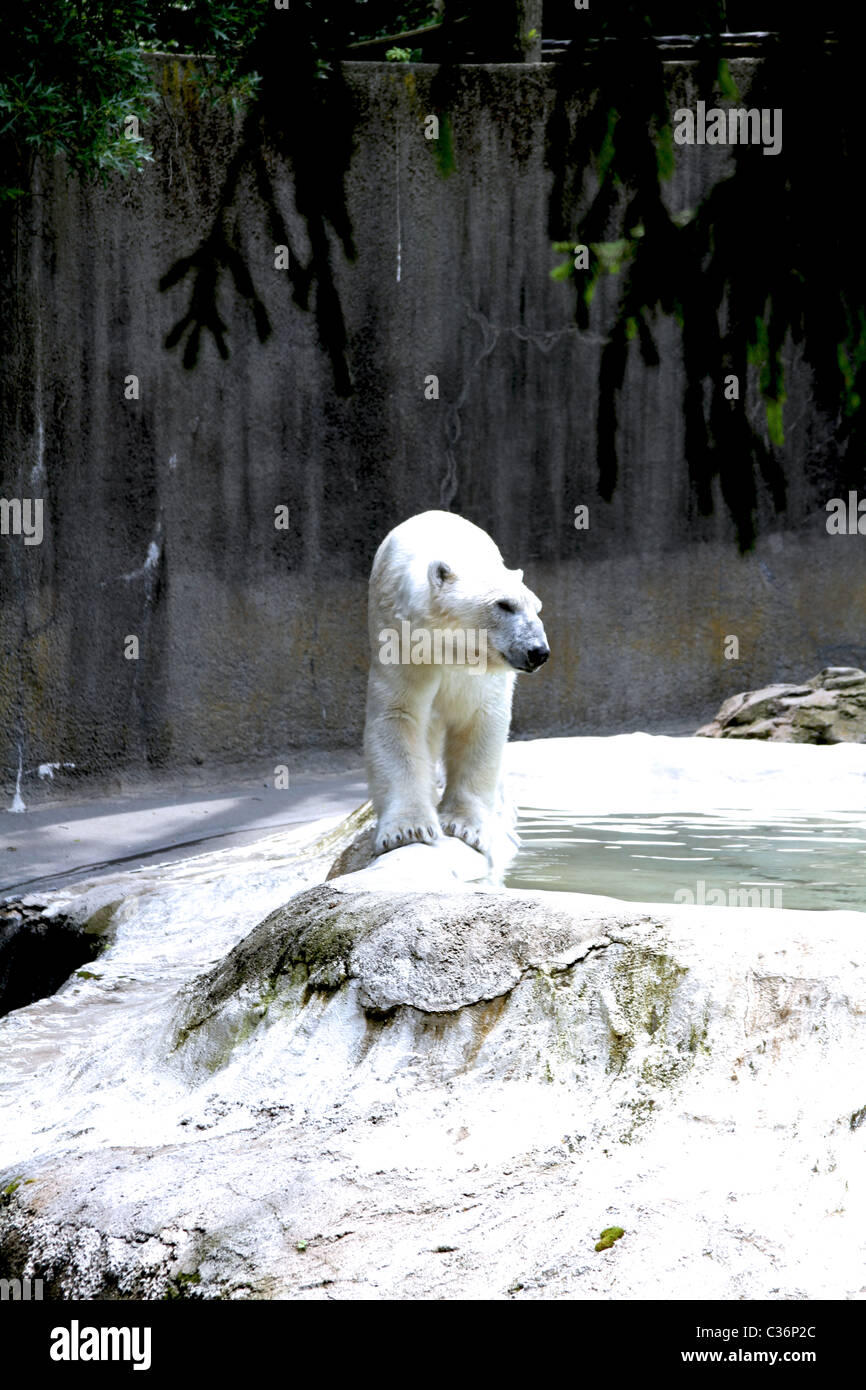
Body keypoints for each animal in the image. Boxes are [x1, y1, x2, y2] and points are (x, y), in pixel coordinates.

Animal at [363, 510, 549, 857]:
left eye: (536, 607)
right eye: (504, 605)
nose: (538, 651)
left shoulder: (482, 672)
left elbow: (480, 721)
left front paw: (465, 827)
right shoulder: (401, 642)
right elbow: (398, 716)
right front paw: (408, 830)